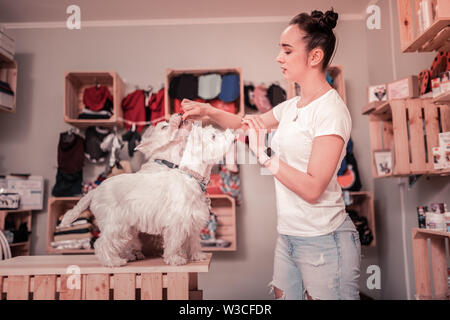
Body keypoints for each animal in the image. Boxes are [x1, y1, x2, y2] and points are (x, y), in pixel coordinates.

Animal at [59, 117, 234, 268]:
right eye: (213, 136)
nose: (231, 132)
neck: (191, 176)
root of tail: (96, 190)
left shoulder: (193, 221)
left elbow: (194, 241)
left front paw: (198, 256)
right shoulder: (177, 223)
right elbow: (174, 242)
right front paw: (175, 259)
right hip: (116, 224)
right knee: (102, 243)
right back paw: (113, 262)